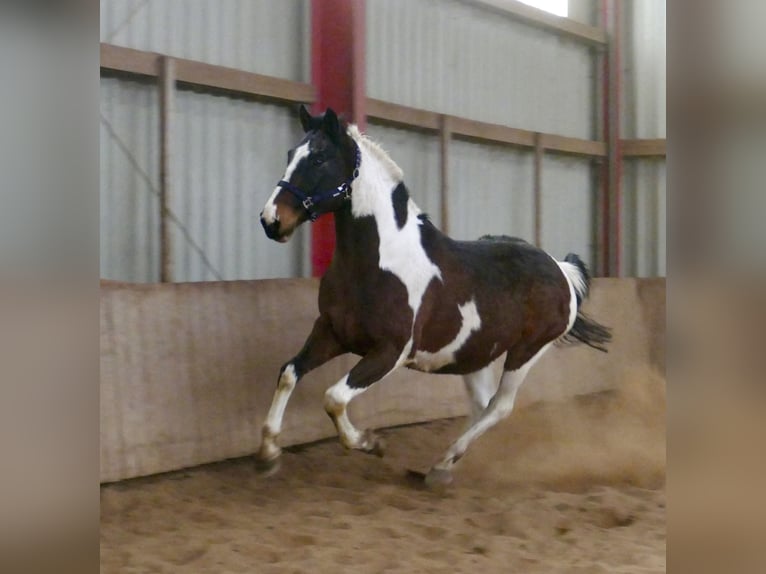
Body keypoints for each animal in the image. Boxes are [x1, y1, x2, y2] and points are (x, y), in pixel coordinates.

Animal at [257, 106, 611, 486]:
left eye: (319, 158)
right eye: (291, 155)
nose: (271, 220)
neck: (378, 261)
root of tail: (561, 269)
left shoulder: (390, 351)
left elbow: (334, 398)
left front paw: (371, 443)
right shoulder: (332, 332)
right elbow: (289, 372)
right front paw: (268, 454)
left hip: (526, 353)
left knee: (500, 407)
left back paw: (442, 464)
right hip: (475, 355)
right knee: (483, 405)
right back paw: (444, 466)